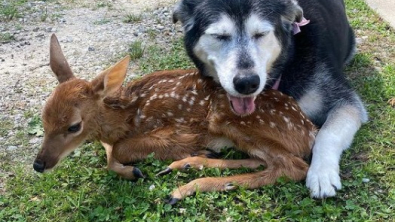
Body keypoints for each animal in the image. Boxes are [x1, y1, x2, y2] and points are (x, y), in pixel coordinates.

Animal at [173, 0, 368, 198]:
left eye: (261, 34)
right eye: (219, 36)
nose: (247, 83)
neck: (287, 61)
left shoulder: (345, 101)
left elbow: (328, 134)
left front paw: (322, 174)